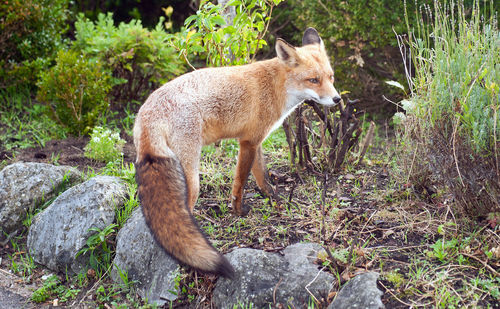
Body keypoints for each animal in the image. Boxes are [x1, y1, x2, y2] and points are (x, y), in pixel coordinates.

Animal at [134, 27, 340, 276]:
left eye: (330, 77)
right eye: (313, 80)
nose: (337, 99)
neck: (275, 86)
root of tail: (148, 112)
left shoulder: (258, 140)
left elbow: (263, 178)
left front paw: (275, 201)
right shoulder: (248, 141)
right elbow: (240, 183)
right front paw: (238, 211)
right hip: (192, 176)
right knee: (185, 214)